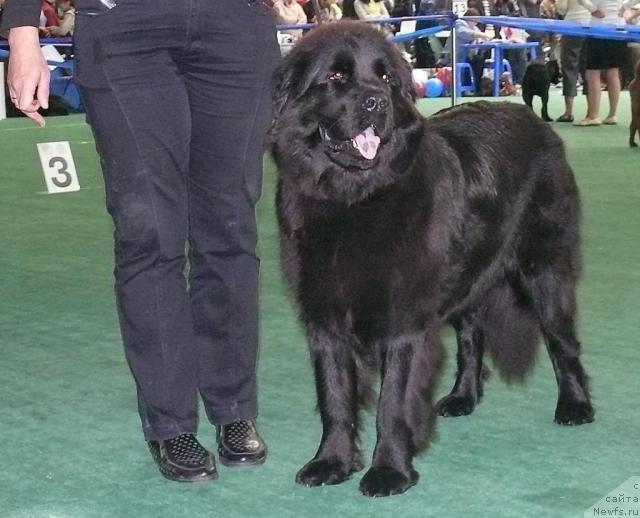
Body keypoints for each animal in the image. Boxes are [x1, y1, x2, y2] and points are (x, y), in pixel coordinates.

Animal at [268, 21, 592, 500]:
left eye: (386, 79)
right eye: (337, 77)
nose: (376, 102)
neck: (355, 202)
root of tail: (534, 122)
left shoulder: (403, 322)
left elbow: (392, 403)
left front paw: (389, 473)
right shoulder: (324, 318)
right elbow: (335, 397)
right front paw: (331, 463)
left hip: (544, 269)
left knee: (561, 340)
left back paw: (575, 405)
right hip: (468, 274)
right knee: (471, 338)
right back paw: (462, 398)